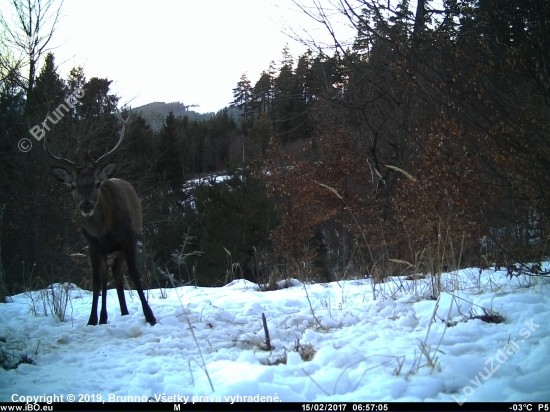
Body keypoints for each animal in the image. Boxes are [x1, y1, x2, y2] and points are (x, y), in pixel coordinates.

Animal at [44, 111, 156, 326]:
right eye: (73, 186)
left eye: (96, 184)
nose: (86, 205)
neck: (104, 232)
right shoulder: (92, 245)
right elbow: (96, 281)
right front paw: (92, 320)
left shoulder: (128, 237)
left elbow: (135, 274)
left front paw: (150, 316)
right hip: (104, 250)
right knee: (107, 275)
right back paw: (108, 316)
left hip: (130, 238)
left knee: (117, 270)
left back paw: (123, 312)